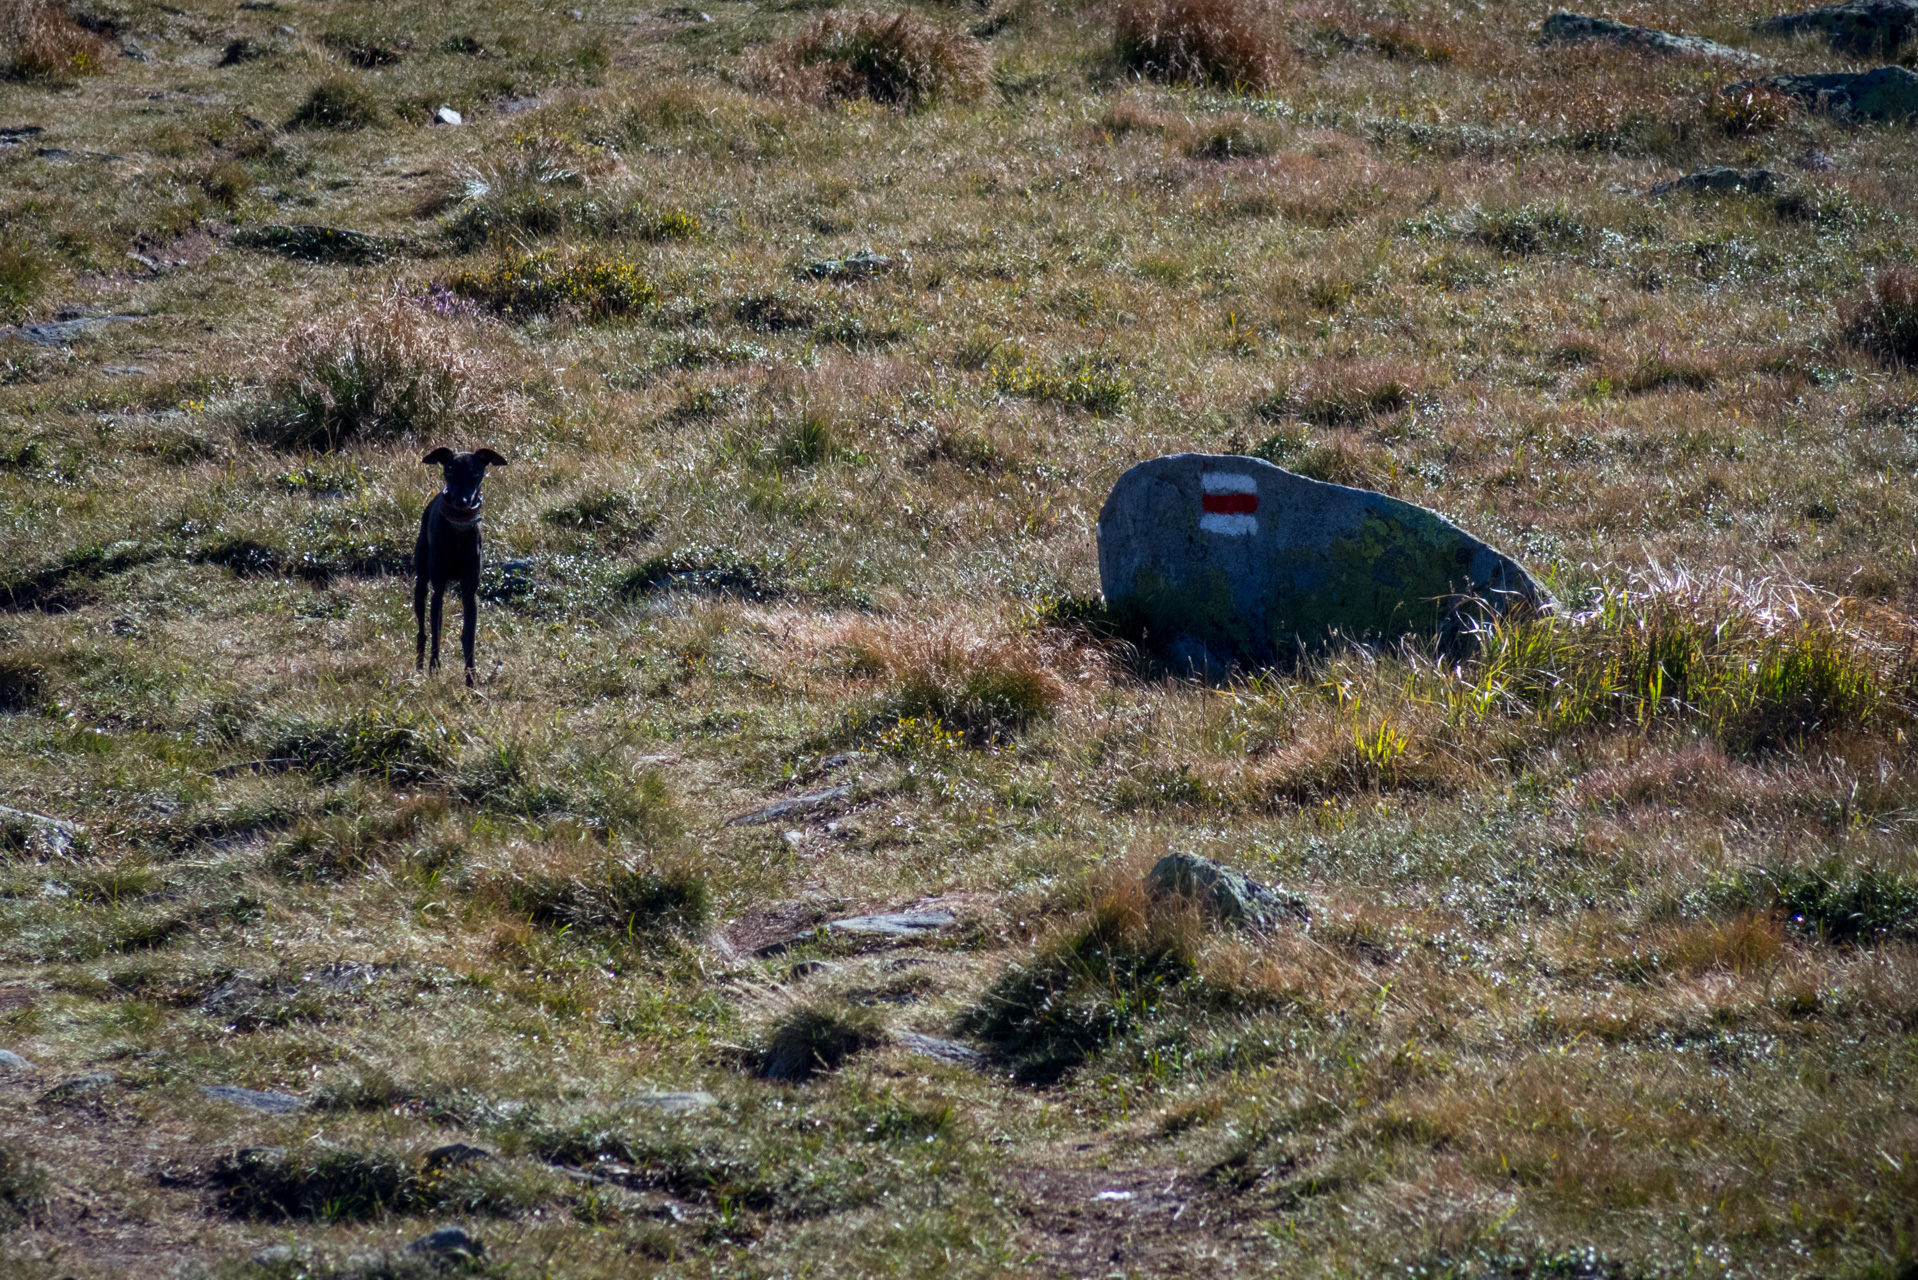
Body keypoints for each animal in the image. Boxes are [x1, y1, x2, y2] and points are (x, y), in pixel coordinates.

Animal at [414, 450, 506, 690]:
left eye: (474, 473)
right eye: (450, 471)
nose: (461, 501)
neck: (458, 528)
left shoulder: (470, 592)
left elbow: (469, 637)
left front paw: (471, 679)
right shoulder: (438, 588)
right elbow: (436, 633)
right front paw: (434, 670)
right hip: (421, 583)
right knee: (423, 630)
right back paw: (419, 667)